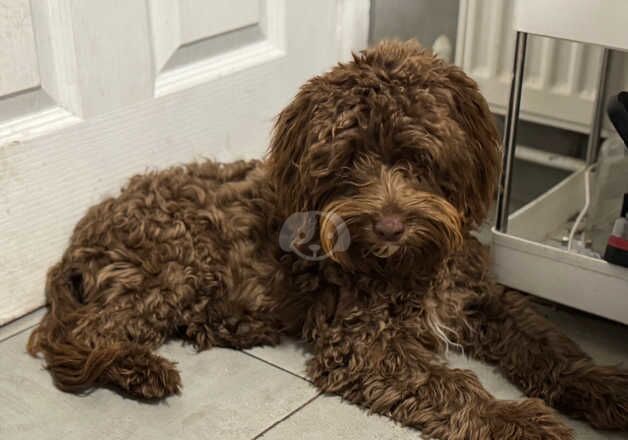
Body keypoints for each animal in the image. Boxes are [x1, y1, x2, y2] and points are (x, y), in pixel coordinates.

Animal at [27, 40, 624, 436]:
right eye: (350, 160)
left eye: (417, 156)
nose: (389, 226)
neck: (412, 263)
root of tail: (86, 228)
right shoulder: (366, 345)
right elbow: (455, 386)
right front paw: (516, 418)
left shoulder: (483, 299)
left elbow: (547, 343)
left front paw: (602, 386)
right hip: (171, 267)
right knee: (72, 337)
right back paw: (138, 369)